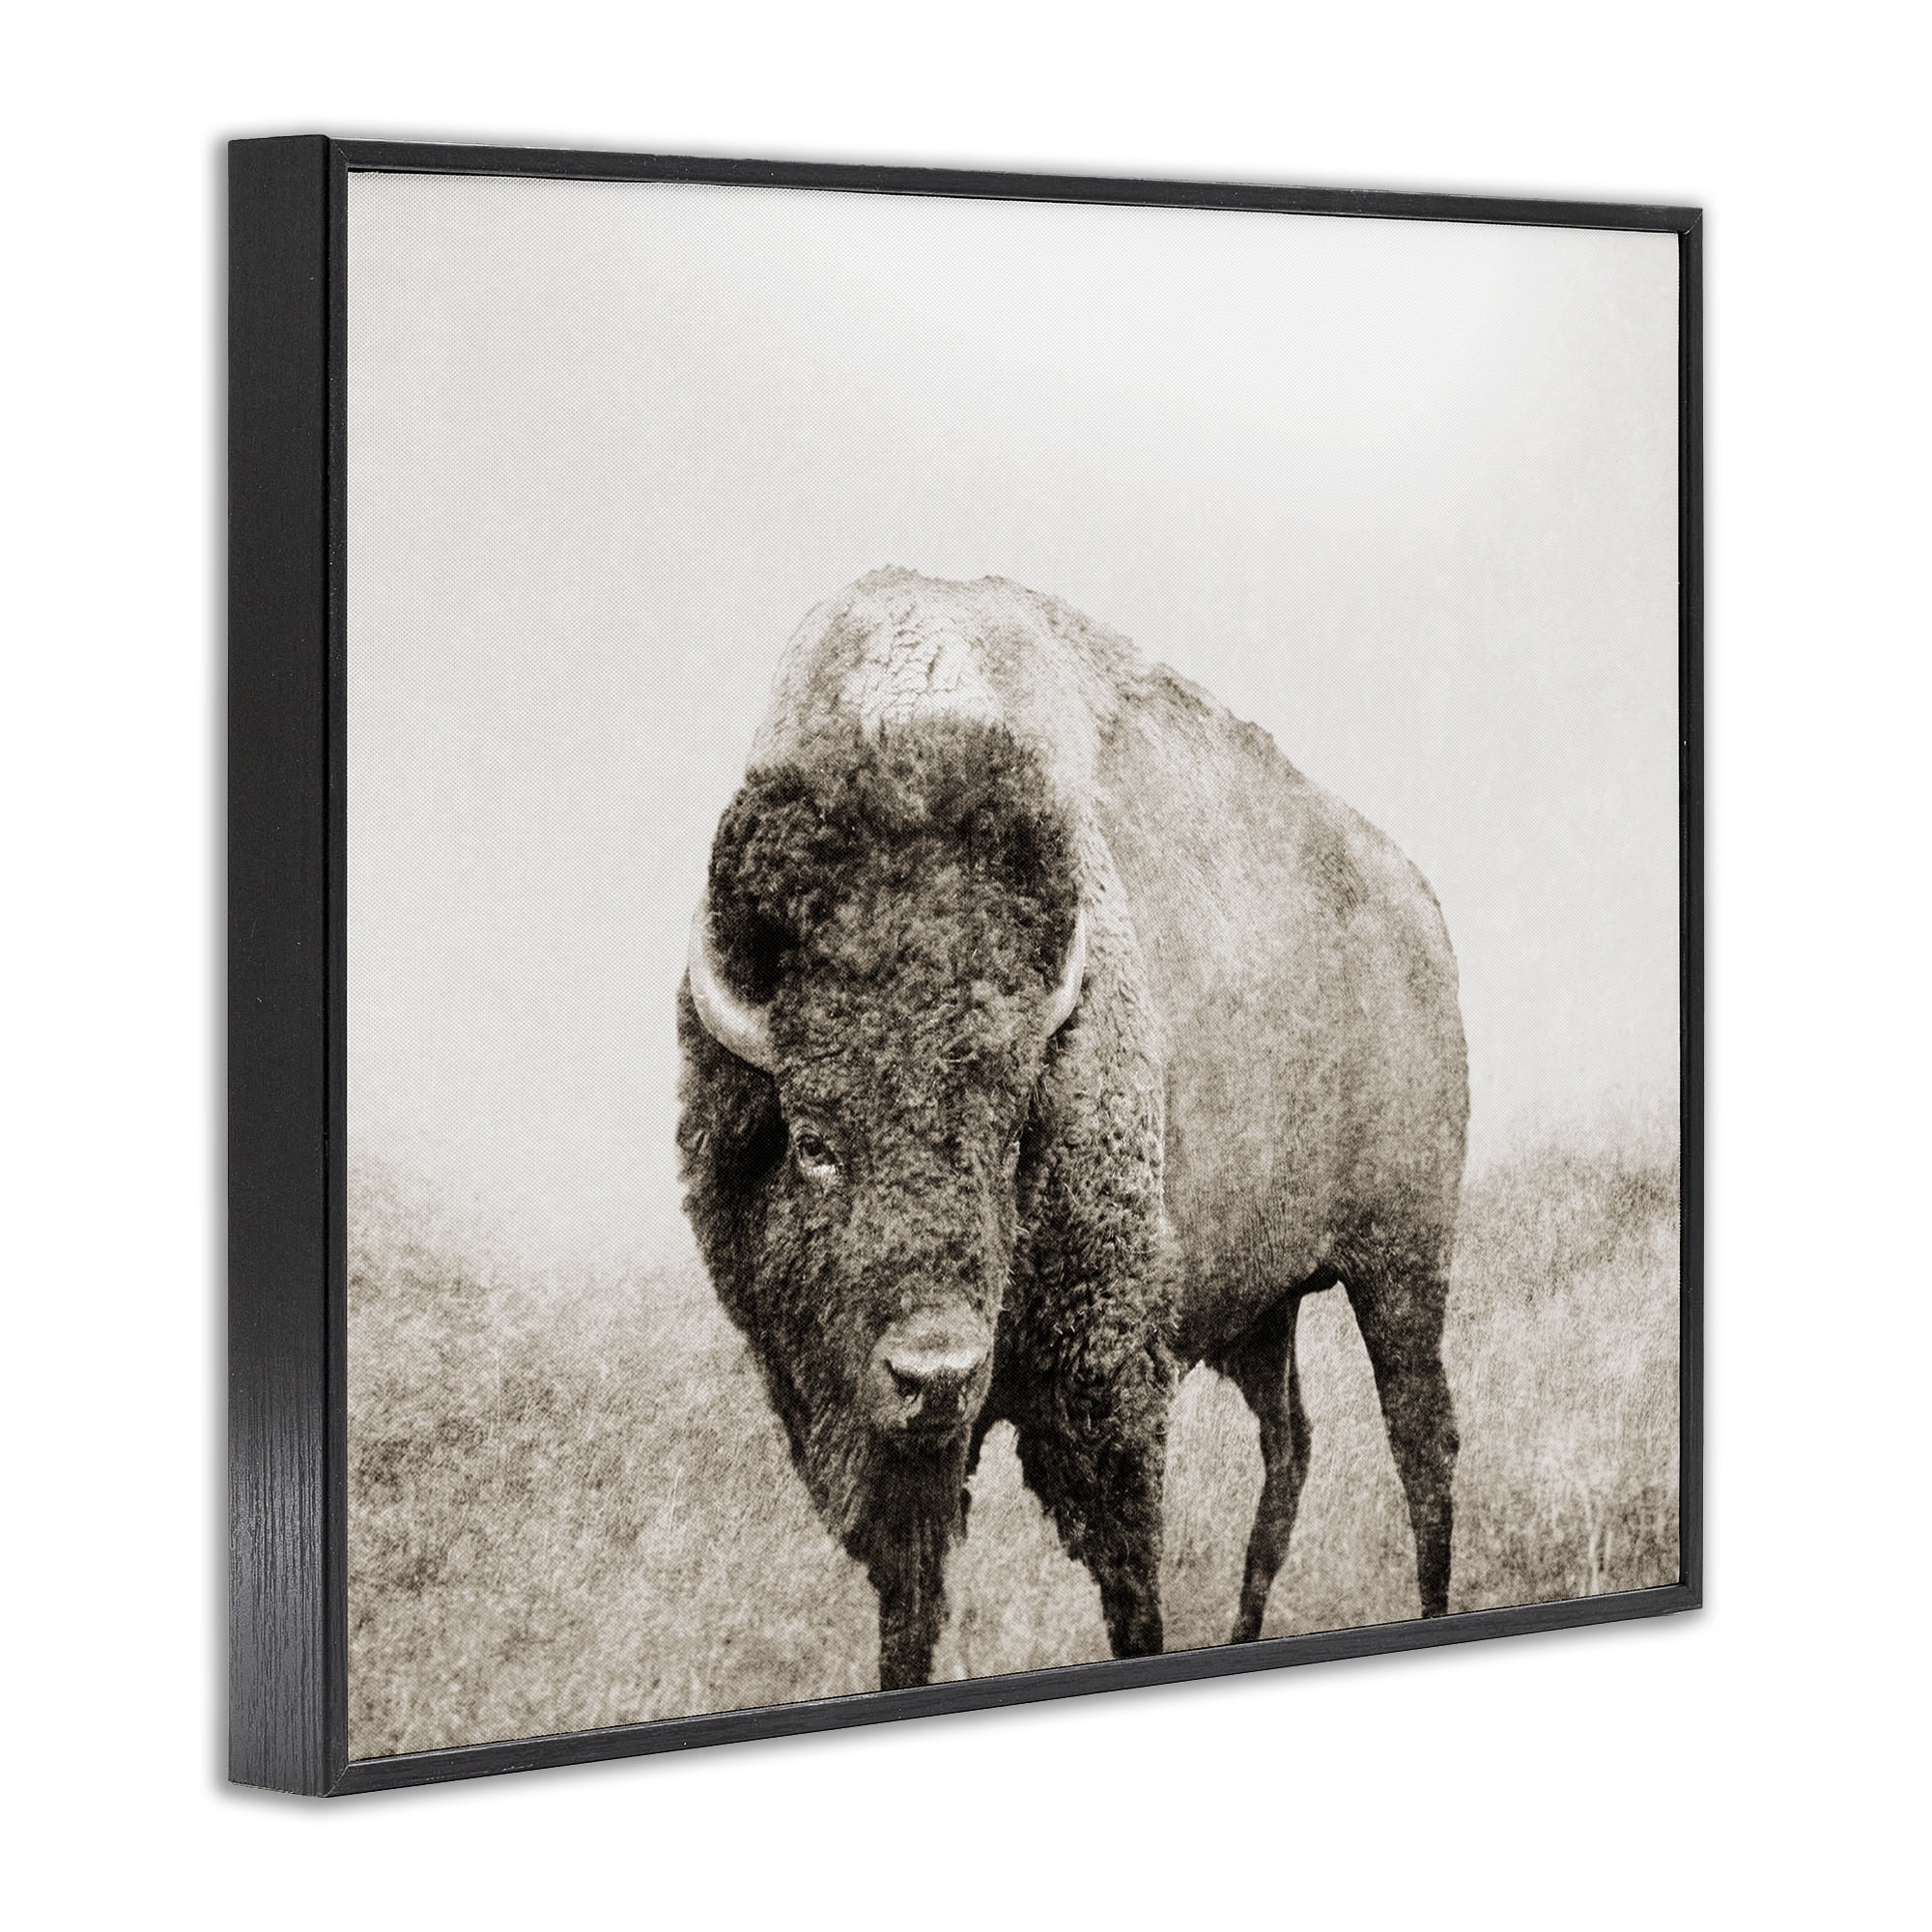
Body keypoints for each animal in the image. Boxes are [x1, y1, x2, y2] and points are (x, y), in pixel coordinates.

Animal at [677, 568, 1467, 1689]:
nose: (934, 1372)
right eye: (815, 1142)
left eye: (1012, 1132)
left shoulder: (1106, 1389)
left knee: (1420, 1441)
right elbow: (909, 1610)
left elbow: (1128, 1582)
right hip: (1264, 1307)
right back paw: (1247, 1627)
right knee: (1291, 1445)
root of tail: (1418, 905)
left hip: (1400, 1263)